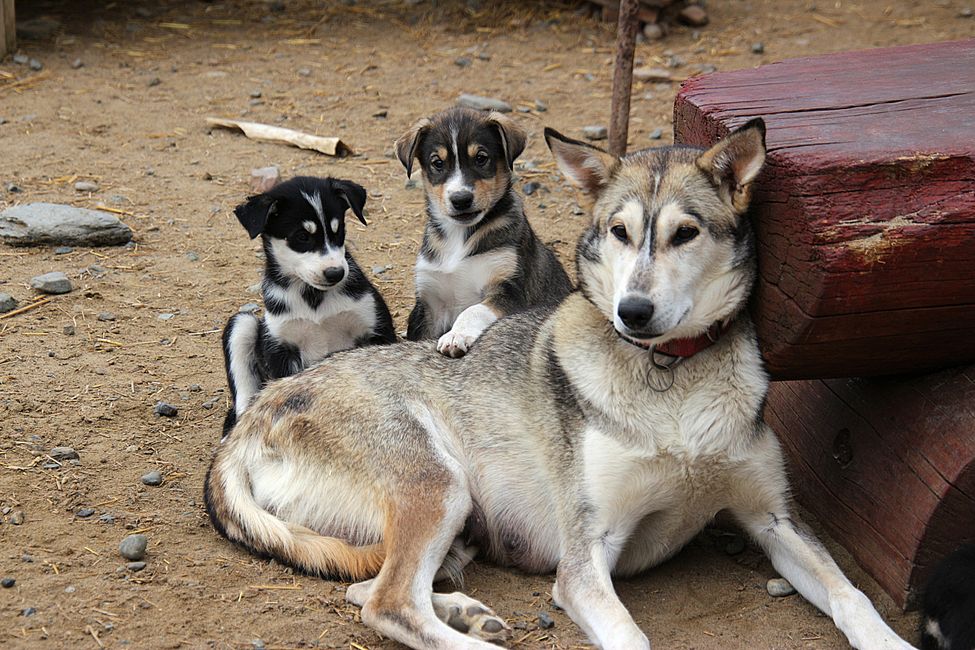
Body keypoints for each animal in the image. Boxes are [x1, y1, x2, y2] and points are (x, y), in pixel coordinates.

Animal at [222, 175, 396, 432]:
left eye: (338, 231)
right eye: (302, 237)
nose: (336, 273)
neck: (314, 299)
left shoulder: (375, 326)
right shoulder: (281, 349)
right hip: (242, 323)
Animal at [398, 108, 572, 356]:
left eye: (481, 158)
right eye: (437, 162)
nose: (460, 199)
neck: (459, 237)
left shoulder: (509, 292)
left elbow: (473, 310)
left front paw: (456, 336)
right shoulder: (428, 304)